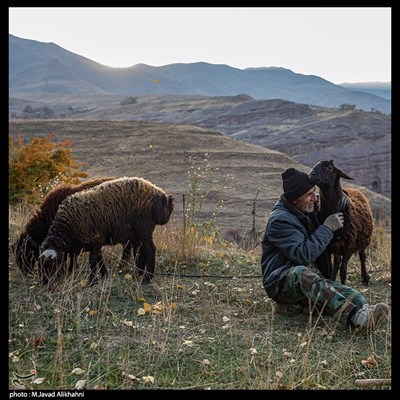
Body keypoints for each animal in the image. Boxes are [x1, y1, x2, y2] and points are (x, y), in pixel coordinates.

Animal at [38, 177, 173, 286]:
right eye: (41, 266)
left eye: (53, 265)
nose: (45, 283)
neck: (68, 226)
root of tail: (161, 195)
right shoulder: (93, 242)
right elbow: (98, 258)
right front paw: (103, 275)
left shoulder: (95, 237)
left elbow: (92, 260)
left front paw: (92, 281)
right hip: (137, 232)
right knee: (141, 249)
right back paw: (138, 274)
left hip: (143, 227)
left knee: (150, 249)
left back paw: (147, 278)